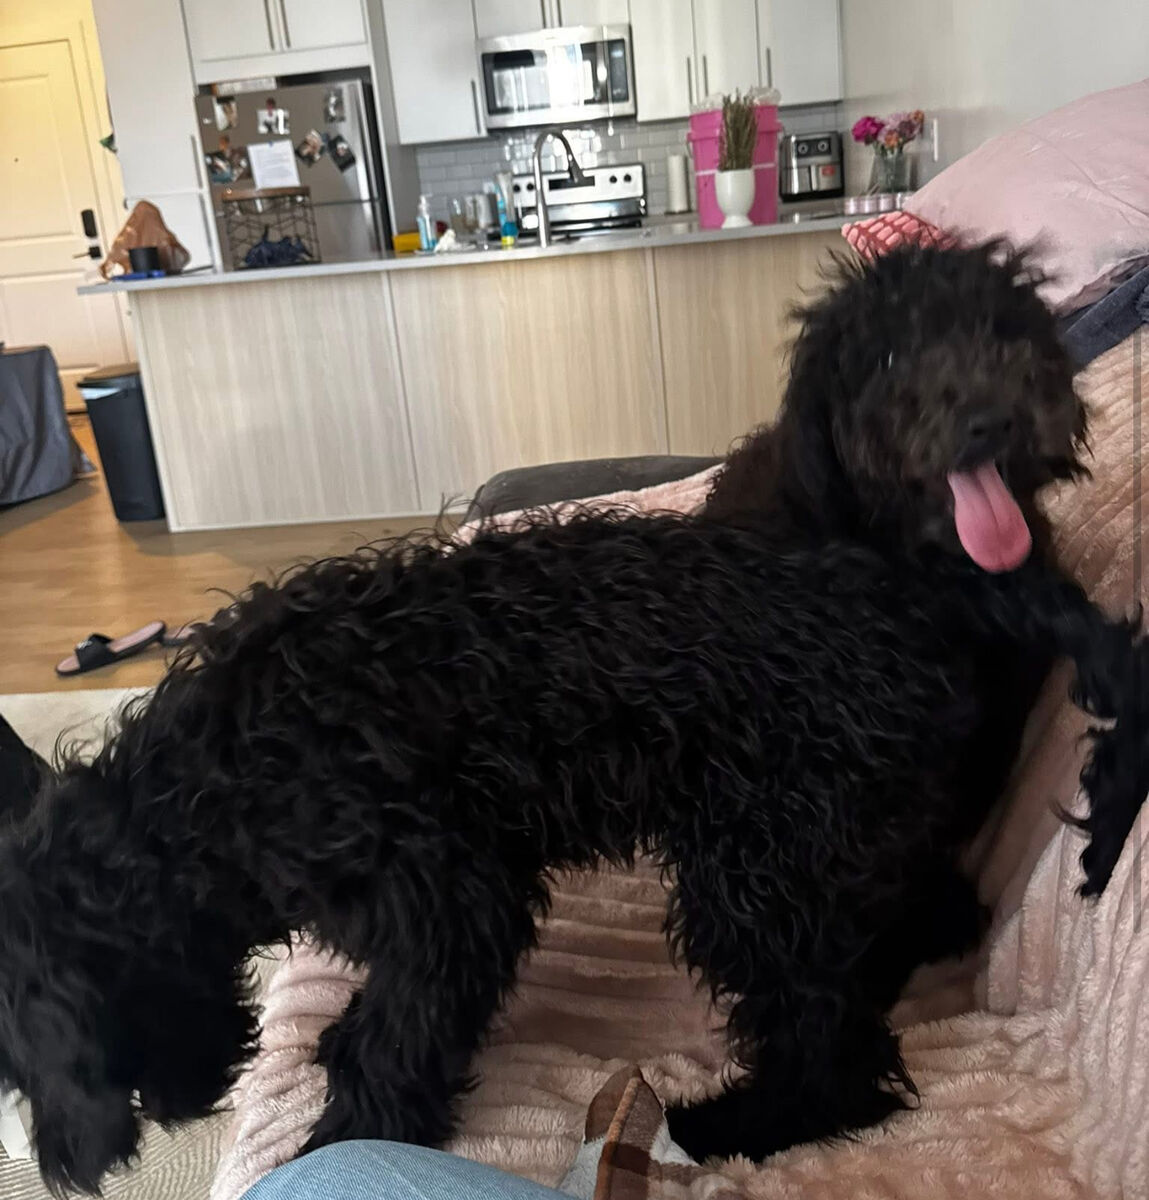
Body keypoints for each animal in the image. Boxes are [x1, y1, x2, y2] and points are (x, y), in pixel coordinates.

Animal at [1, 245, 1145, 1194]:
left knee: (840, 1056)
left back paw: (737, 1123)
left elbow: (395, 1036)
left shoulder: (453, 893)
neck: (203, 793)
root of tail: (916, 579)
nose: (65, 1169)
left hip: (754, 863)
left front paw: (345, 1138)